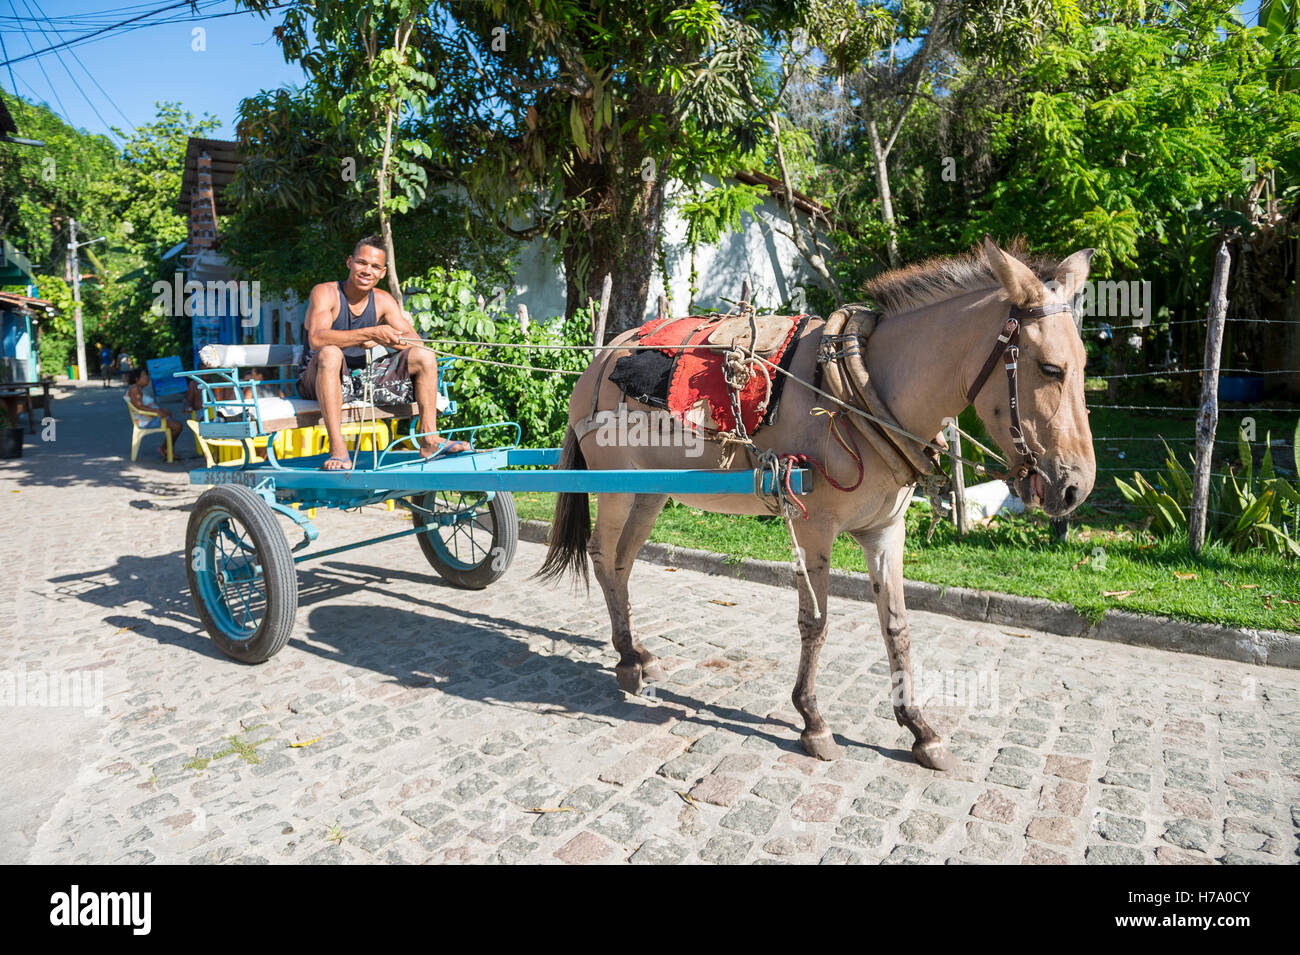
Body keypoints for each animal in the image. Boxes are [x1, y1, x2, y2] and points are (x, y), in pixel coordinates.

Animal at [538, 238, 1097, 770]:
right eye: (1050, 368)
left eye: (1084, 366)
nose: (1077, 487)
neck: (858, 391)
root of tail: (605, 354)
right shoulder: (812, 526)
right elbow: (817, 621)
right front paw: (812, 720)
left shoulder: (885, 532)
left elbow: (897, 626)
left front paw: (920, 729)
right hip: (616, 485)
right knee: (602, 556)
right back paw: (626, 660)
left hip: (651, 491)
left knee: (624, 562)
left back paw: (637, 653)